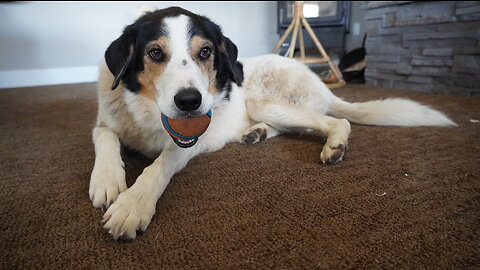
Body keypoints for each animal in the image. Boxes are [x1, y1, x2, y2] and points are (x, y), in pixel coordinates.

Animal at [89, 6, 454, 239]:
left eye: (205, 52)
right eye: (154, 53)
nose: (190, 101)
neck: (149, 112)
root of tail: (319, 81)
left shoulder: (187, 143)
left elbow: (158, 166)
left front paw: (132, 204)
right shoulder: (105, 122)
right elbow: (105, 138)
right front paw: (107, 181)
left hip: (262, 100)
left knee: (335, 121)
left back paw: (335, 144)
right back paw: (256, 133)